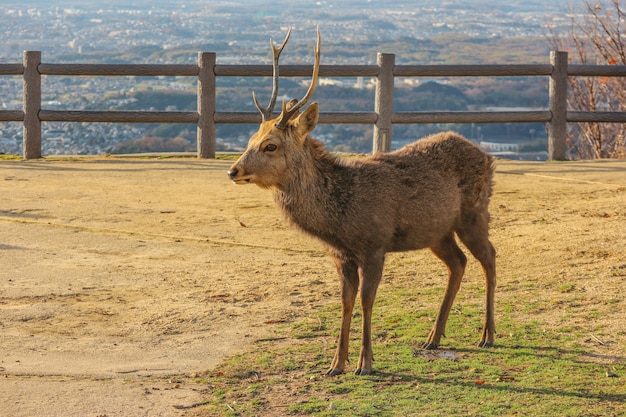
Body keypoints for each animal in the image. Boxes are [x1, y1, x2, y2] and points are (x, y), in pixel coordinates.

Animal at [227, 27, 494, 376]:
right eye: (250, 140)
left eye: (270, 145)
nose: (233, 170)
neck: (339, 220)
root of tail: (488, 155)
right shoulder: (340, 256)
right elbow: (345, 301)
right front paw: (336, 364)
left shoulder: (375, 246)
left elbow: (367, 300)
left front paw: (365, 363)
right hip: (438, 231)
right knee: (459, 262)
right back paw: (433, 337)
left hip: (475, 213)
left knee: (489, 258)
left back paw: (487, 335)